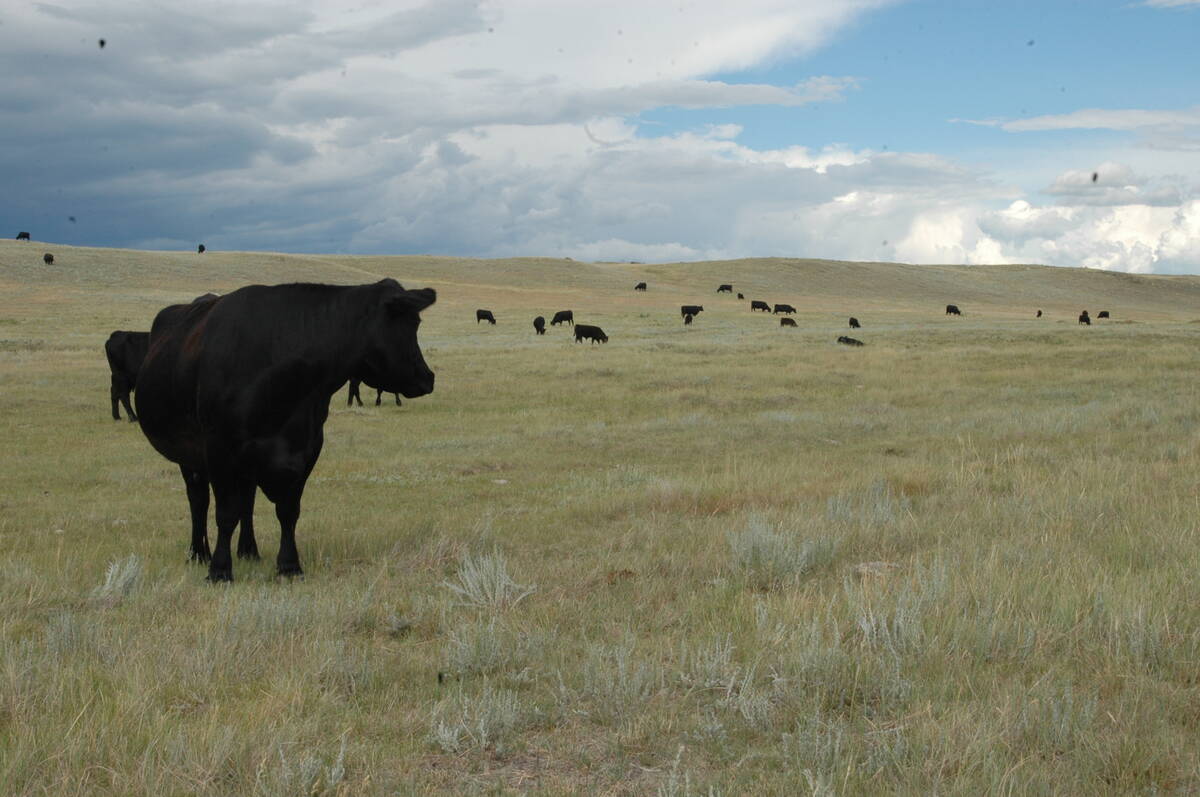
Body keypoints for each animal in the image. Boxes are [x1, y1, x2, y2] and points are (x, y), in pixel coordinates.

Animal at [135, 279, 436, 581]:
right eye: (412, 323)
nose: (428, 377)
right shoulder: (220, 448)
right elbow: (226, 513)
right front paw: (220, 570)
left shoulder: (307, 447)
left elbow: (288, 511)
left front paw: (289, 566)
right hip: (190, 454)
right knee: (199, 500)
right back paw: (199, 553)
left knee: (247, 501)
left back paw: (249, 550)